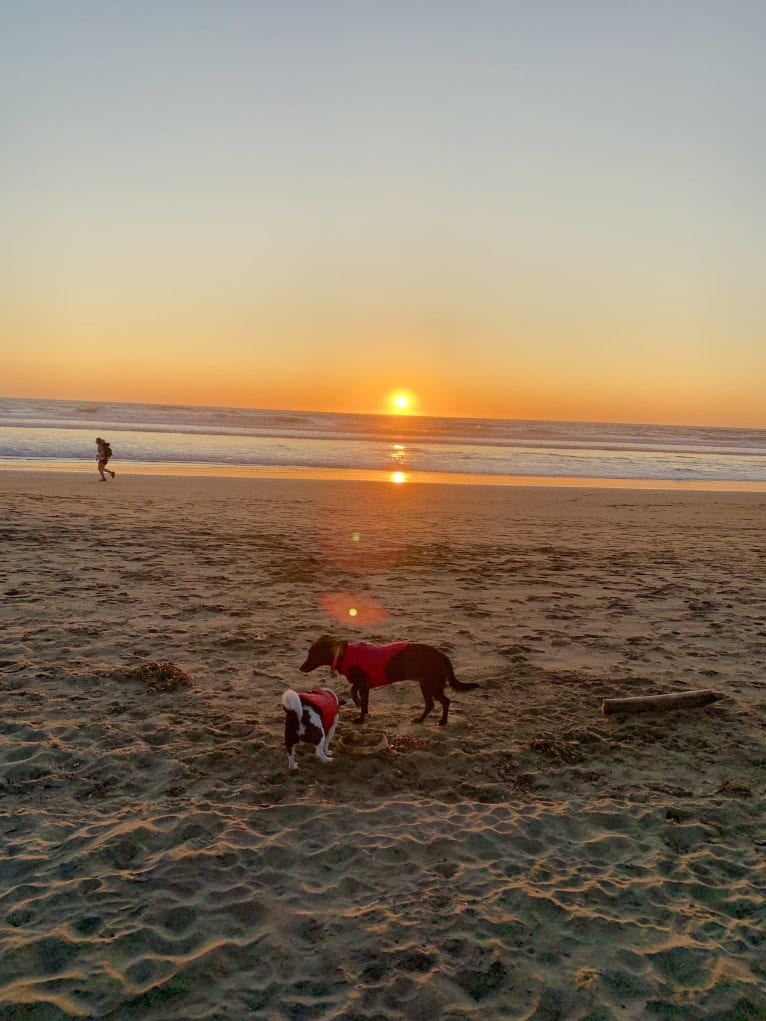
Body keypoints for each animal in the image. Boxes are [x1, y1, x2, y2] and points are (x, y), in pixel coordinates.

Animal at [296, 637, 477, 726]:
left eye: (311, 654)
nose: (300, 668)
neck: (344, 654)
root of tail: (442, 655)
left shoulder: (364, 685)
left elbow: (361, 700)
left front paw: (360, 719)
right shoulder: (364, 684)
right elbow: (355, 692)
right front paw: (357, 703)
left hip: (431, 684)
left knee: (445, 701)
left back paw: (443, 721)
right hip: (425, 684)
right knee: (431, 704)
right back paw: (420, 720)